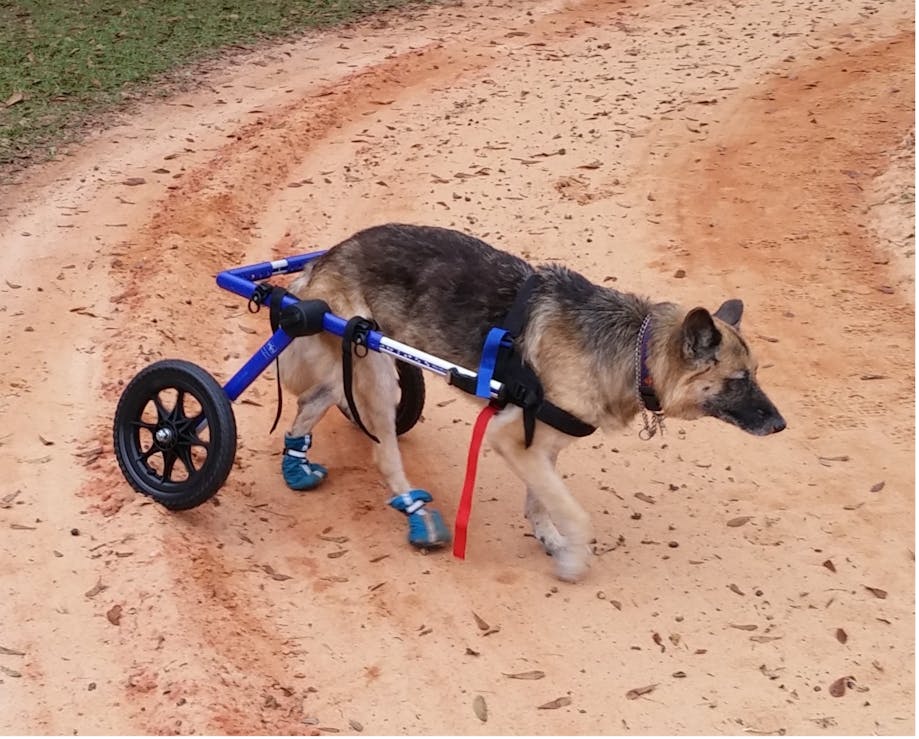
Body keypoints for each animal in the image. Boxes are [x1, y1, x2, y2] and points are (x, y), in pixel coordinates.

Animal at [276, 223, 788, 580]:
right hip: (375, 362)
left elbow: (542, 501)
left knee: (313, 400)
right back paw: (416, 515)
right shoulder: (512, 440)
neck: (633, 349)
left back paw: (296, 464)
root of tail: (325, 259)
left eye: (757, 374)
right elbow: (576, 514)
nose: (781, 425)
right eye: (738, 380)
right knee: (382, 452)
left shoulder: (541, 443)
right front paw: (574, 560)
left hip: (357, 363)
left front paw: (550, 539)